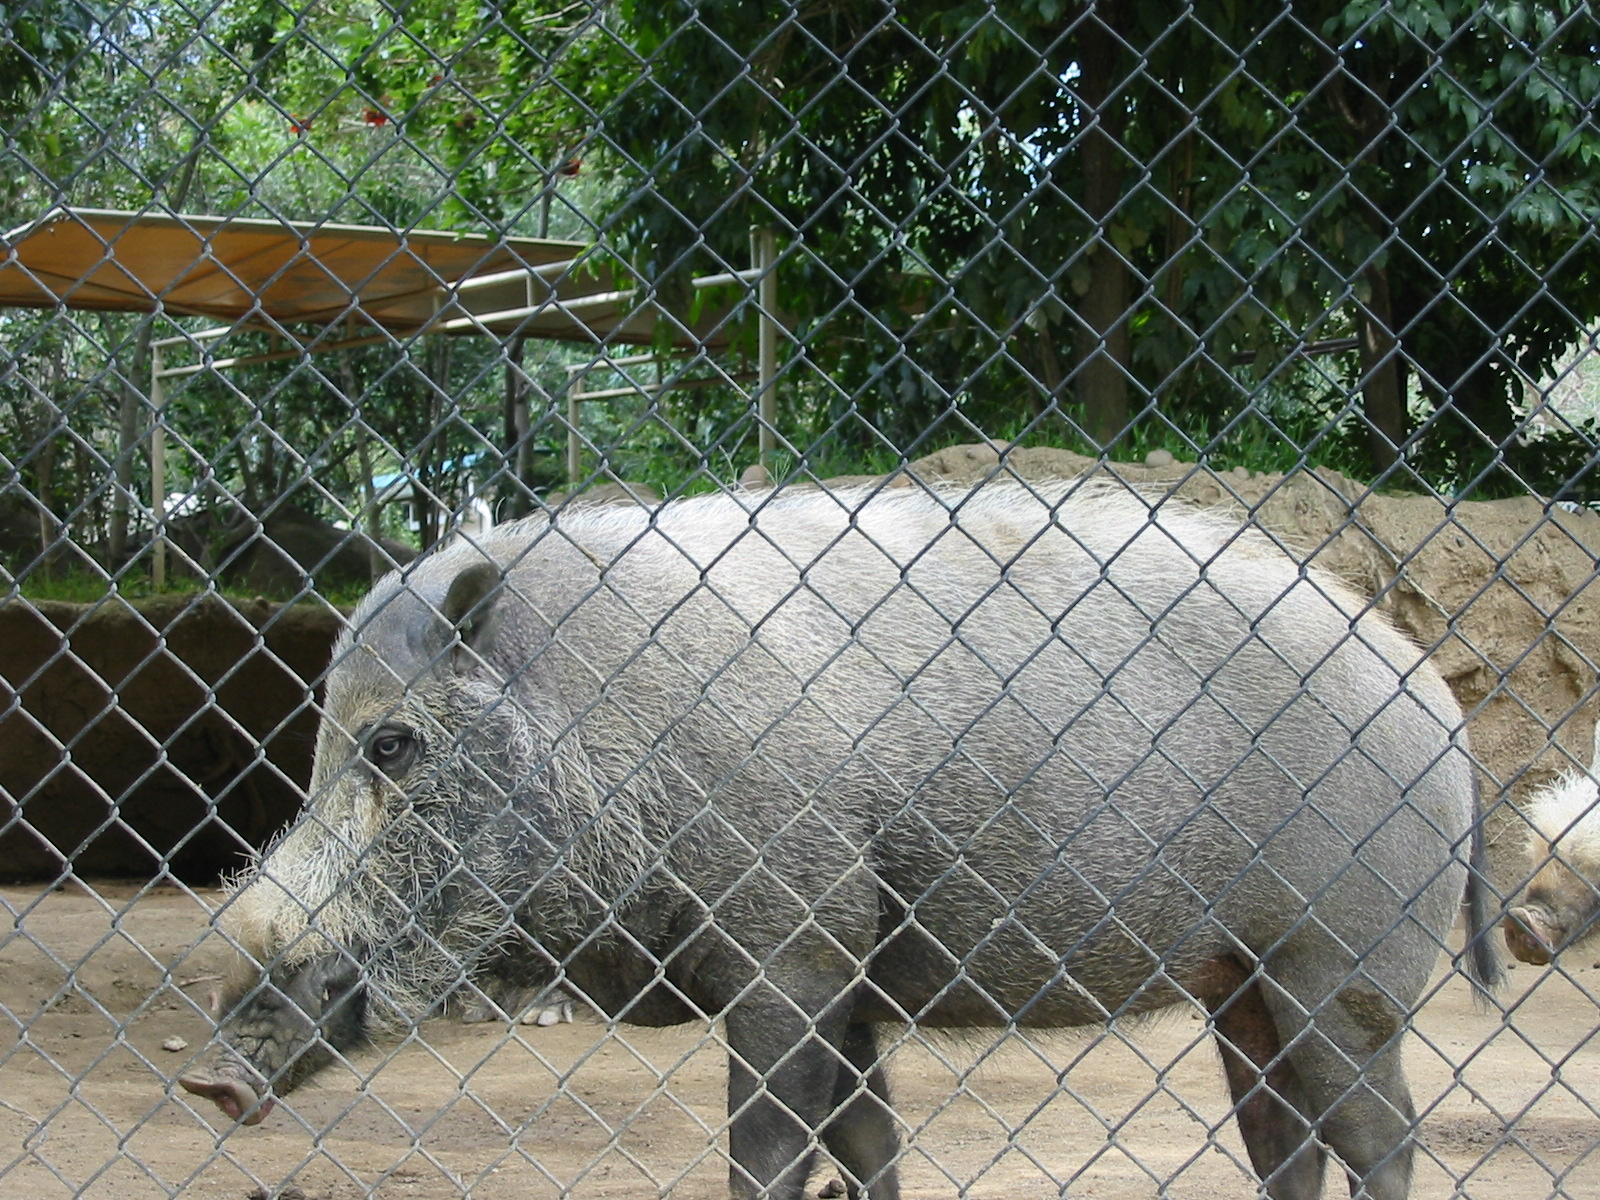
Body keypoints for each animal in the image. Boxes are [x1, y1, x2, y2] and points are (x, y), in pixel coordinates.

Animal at [178, 484, 1499, 1200]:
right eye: (318, 745)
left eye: (392, 745)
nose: (208, 1075)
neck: (614, 728)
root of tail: (1441, 712)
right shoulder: (849, 969)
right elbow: (867, 1148)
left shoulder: (794, 952)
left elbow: (765, 1152)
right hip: (1242, 983)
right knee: (1285, 1143)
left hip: (1344, 961)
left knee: (1382, 1137)